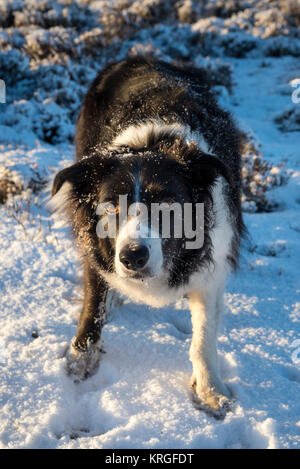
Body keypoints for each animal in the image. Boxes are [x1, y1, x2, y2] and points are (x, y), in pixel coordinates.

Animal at [51, 55, 244, 414]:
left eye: (168, 204)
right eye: (112, 206)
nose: (133, 257)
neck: (150, 143)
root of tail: (142, 56)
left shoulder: (211, 267)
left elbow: (203, 336)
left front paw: (211, 390)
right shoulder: (98, 246)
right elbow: (93, 303)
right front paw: (80, 360)